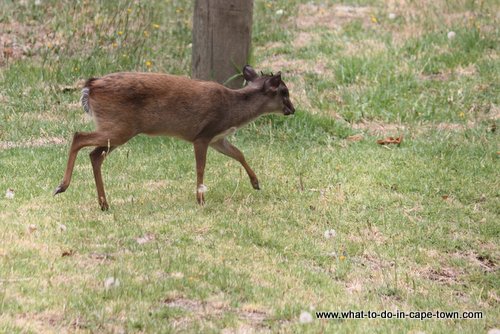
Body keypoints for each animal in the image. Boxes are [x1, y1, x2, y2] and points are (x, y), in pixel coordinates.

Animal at [54, 65, 294, 209]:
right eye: (284, 92)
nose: (292, 110)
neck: (232, 109)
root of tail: (91, 86)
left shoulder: (217, 138)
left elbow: (239, 153)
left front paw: (256, 182)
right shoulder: (202, 135)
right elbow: (201, 167)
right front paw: (200, 199)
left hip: (117, 129)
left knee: (95, 155)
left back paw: (103, 204)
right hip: (118, 127)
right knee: (79, 136)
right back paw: (62, 186)